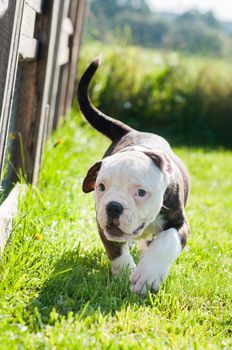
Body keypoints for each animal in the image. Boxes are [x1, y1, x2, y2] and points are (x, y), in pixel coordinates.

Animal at [77, 55, 189, 296]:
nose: (113, 207)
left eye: (141, 192)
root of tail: (131, 131)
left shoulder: (180, 223)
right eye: (101, 187)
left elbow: (166, 241)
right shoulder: (103, 224)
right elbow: (116, 252)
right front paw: (124, 275)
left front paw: (148, 274)